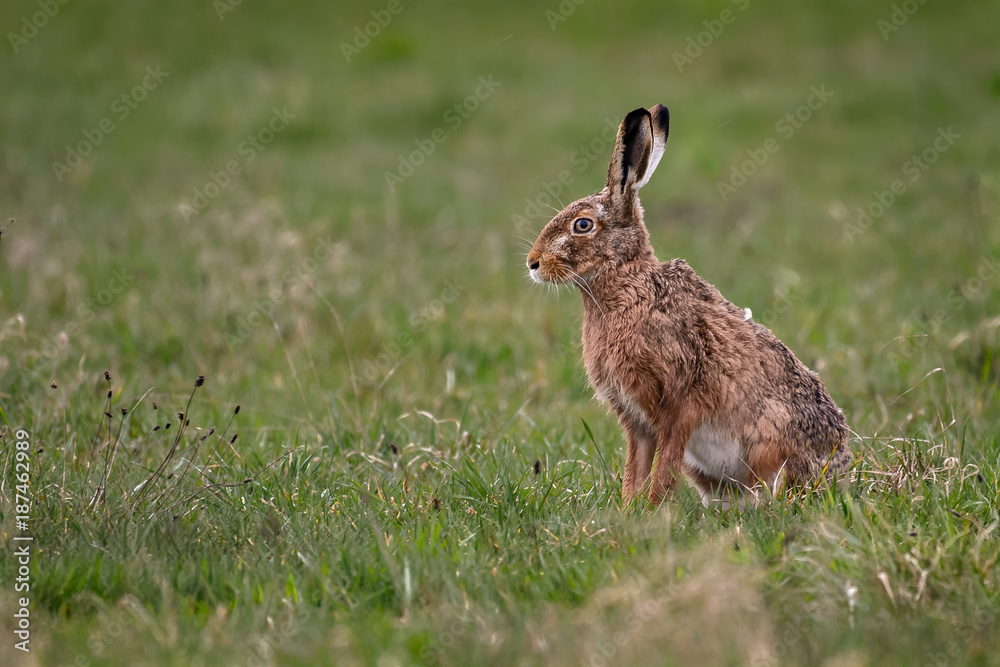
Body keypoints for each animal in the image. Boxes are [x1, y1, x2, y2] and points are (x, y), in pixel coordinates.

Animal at [526, 104, 851, 507]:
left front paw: (650, 509)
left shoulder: (681, 405)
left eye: (582, 225)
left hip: (770, 444)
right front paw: (628, 510)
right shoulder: (636, 420)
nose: (533, 263)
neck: (627, 283)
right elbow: (636, 467)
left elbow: (664, 466)